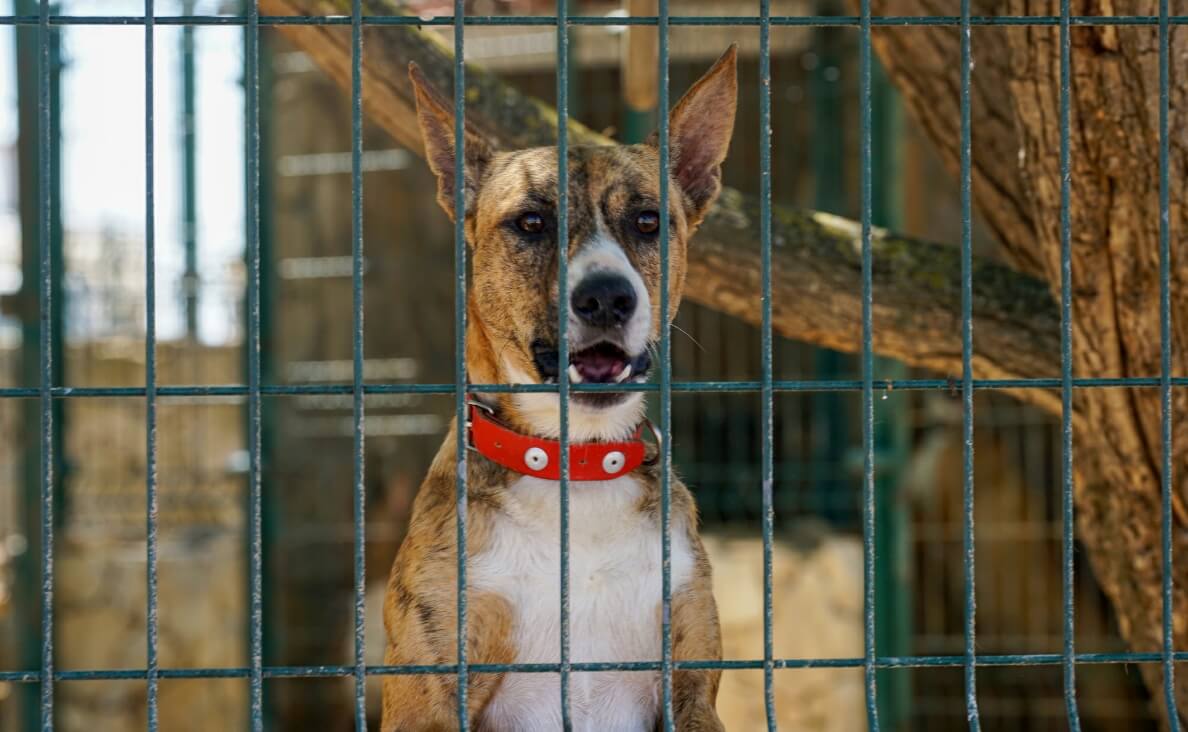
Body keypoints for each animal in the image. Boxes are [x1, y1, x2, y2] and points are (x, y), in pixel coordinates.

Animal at [382, 47, 731, 732]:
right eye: (531, 222)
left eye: (648, 221)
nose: (607, 297)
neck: (574, 463)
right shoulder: (429, 693)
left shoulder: (690, 682)